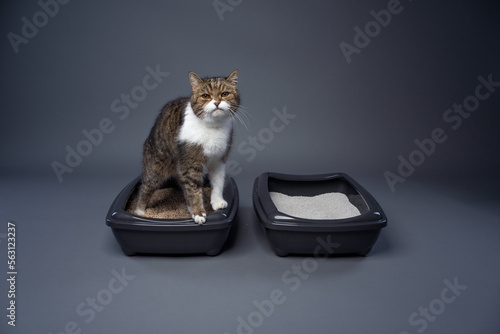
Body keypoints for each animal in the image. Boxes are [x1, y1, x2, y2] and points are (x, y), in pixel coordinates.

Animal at [135, 69, 240, 223]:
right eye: (206, 96)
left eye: (225, 94)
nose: (217, 102)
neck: (212, 127)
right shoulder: (191, 162)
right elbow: (193, 187)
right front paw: (198, 213)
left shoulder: (219, 159)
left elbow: (218, 181)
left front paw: (217, 201)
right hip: (155, 167)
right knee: (146, 187)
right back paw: (140, 212)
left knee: (183, 184)